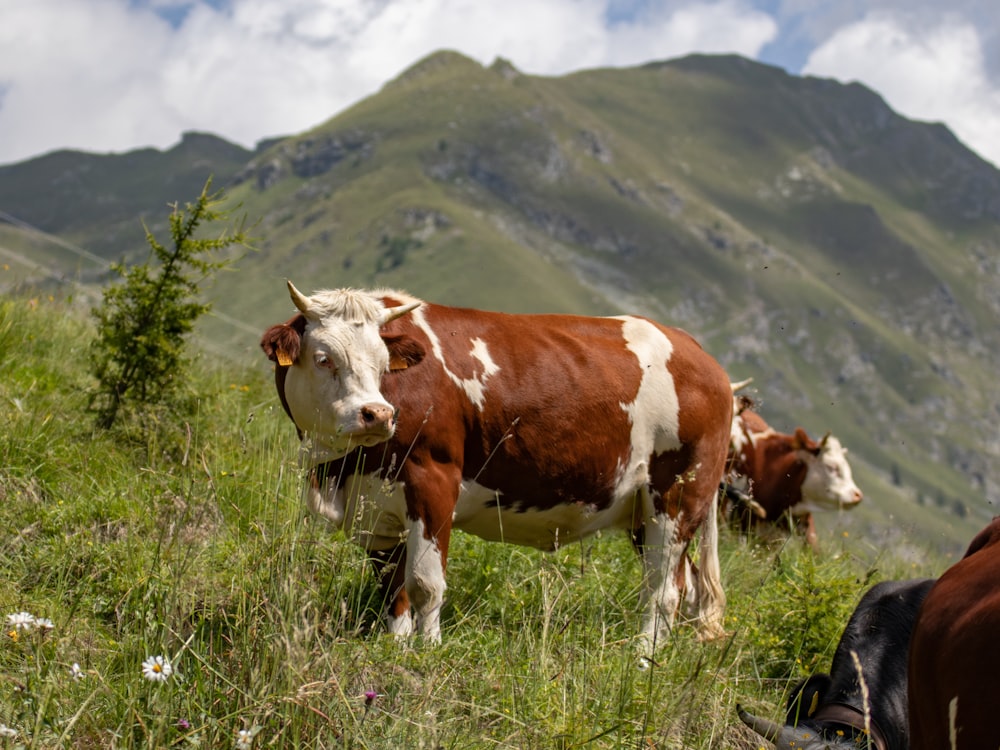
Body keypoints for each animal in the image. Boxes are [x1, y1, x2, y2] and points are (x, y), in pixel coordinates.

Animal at [262, 282, 736, 652]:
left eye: (382, 363)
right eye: (324, 358)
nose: (377, 414)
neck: (339, 471)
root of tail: (700, 355)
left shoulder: (433, 480)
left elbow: (425, 583)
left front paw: (427, 652)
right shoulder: (372, 507)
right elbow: (392, 585)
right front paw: (394, 647)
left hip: (678, 496)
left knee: (663, 590)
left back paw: (642, 660)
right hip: (643, 510)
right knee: (685, 584)